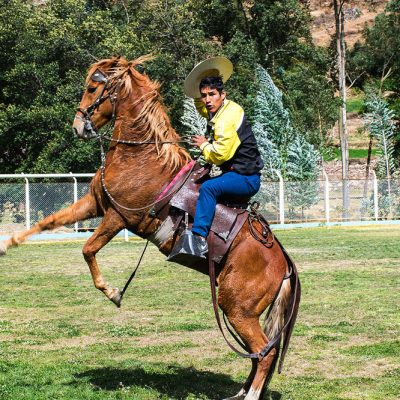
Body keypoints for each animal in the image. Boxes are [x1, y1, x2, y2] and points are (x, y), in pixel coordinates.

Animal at [0, 55, 300, 400]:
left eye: (92, 88)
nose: (78, 126)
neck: (141, 157)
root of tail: (284, 262)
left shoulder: (118, 217)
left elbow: (88, 249)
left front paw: (114, 292)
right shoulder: (94, 204)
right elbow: (49, 221)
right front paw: (6, 244)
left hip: (237, 307)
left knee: (265, 352)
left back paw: (249, 394)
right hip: (238, 309)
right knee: (259, 353)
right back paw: (240, 392)